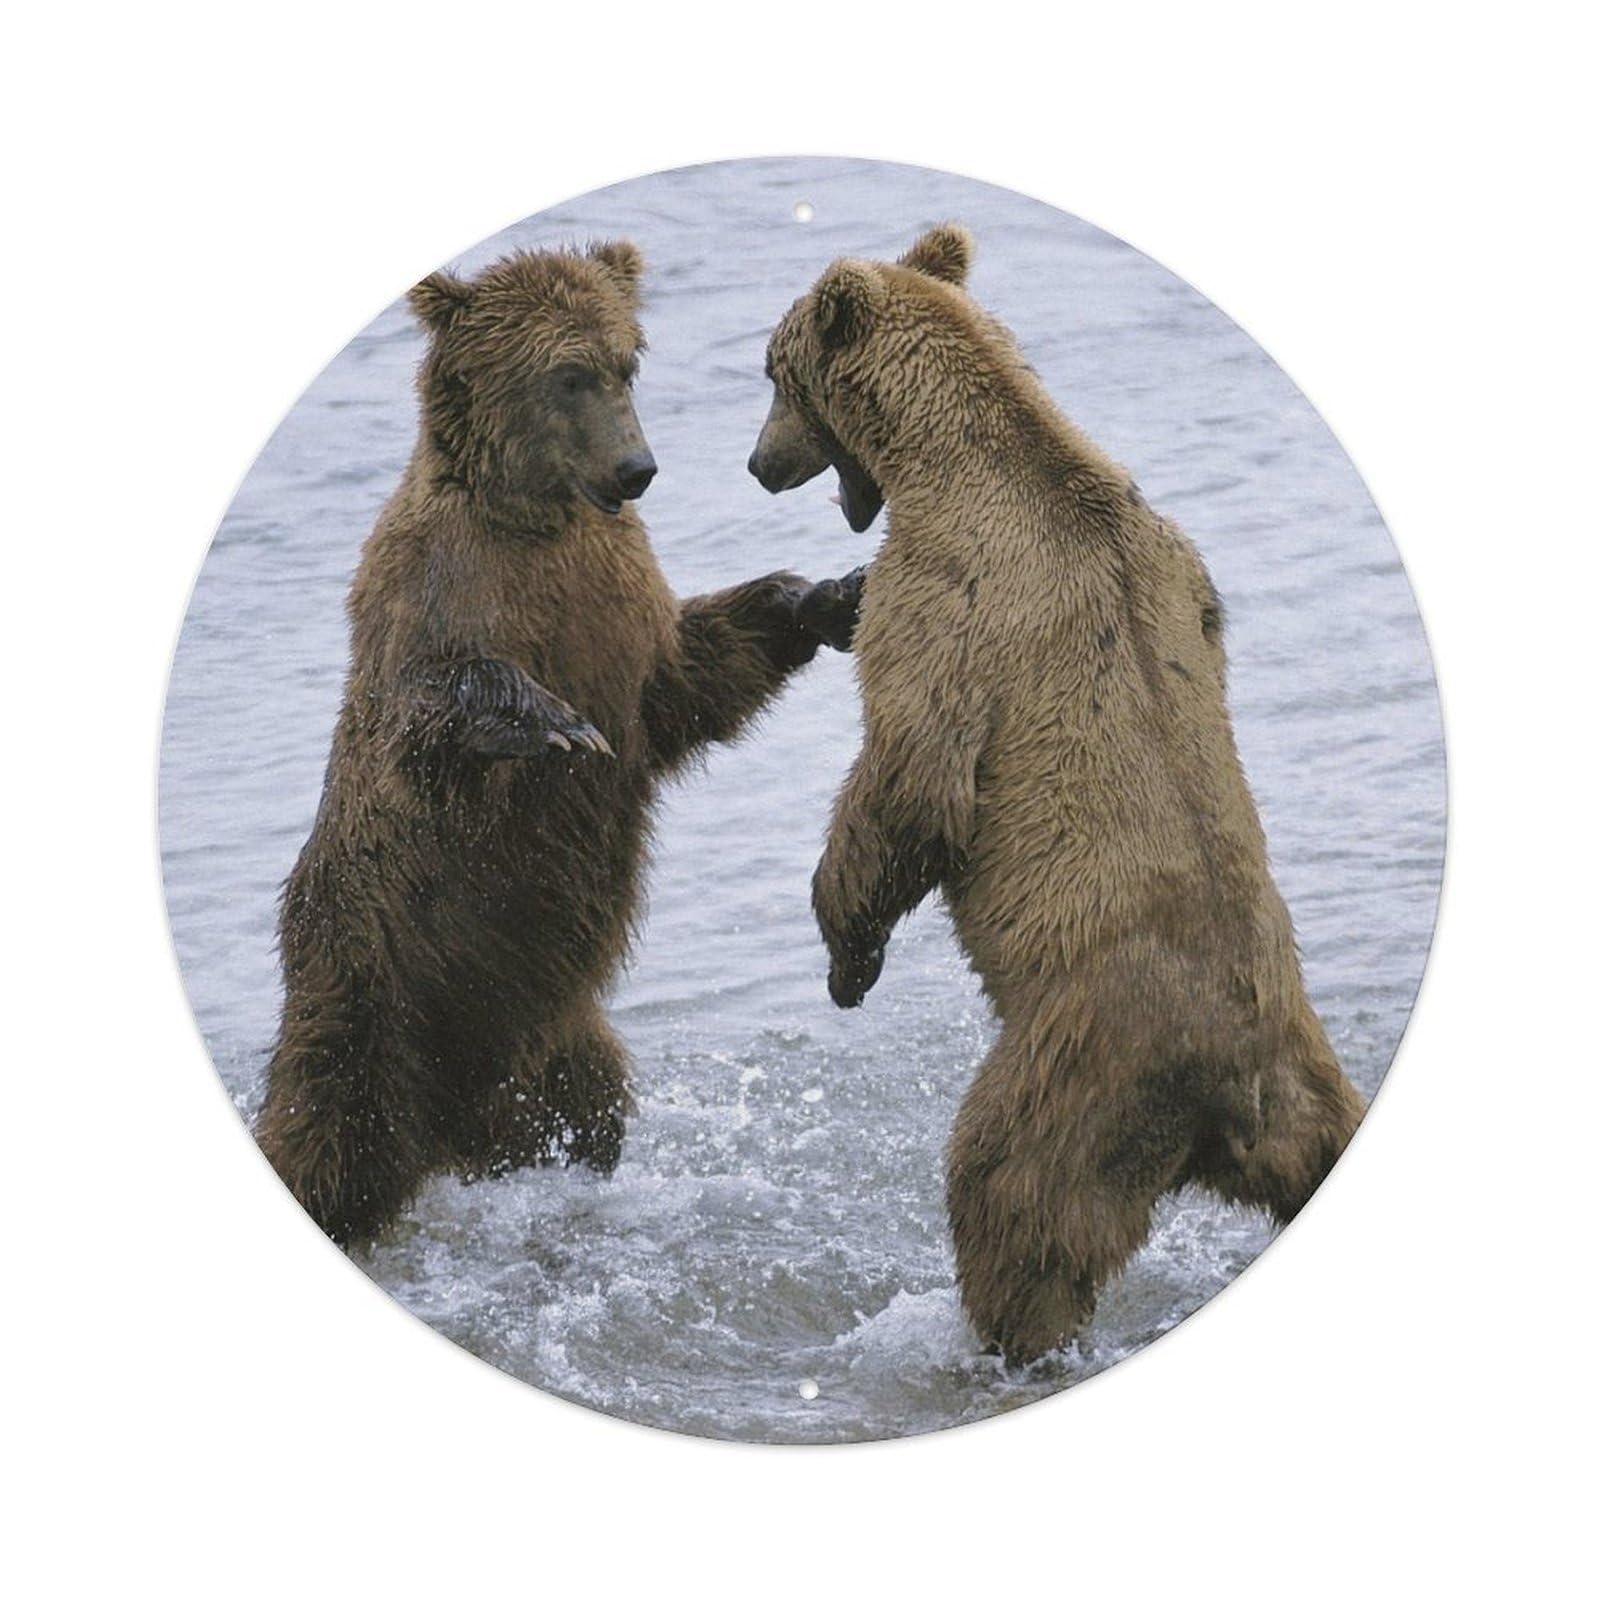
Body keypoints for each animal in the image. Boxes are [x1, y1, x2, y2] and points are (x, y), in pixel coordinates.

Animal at [256, 241, 862, 1249]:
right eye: (566, 375)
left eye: (626, 364)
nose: (637, 468)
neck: (542, 518)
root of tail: (451, 1134)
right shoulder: (439, 583)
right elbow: (424, 717)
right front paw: (551, 721)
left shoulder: (617, 605)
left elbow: (686, 679)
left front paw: (827, 595)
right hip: (368, 982)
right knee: (326, 1134)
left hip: (554, 1031)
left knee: (588, 1109)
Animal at [749, 224, 1366, 1363]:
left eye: (771, 372)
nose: (758, 464)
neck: (950, 454)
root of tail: (1235, 1086)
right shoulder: (1180, 565)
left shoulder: (946, 596)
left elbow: (911, 778)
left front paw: (845, 955)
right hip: (1307, 1080)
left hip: (1080, 1059)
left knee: (1006, 1195)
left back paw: (1004, 1337)